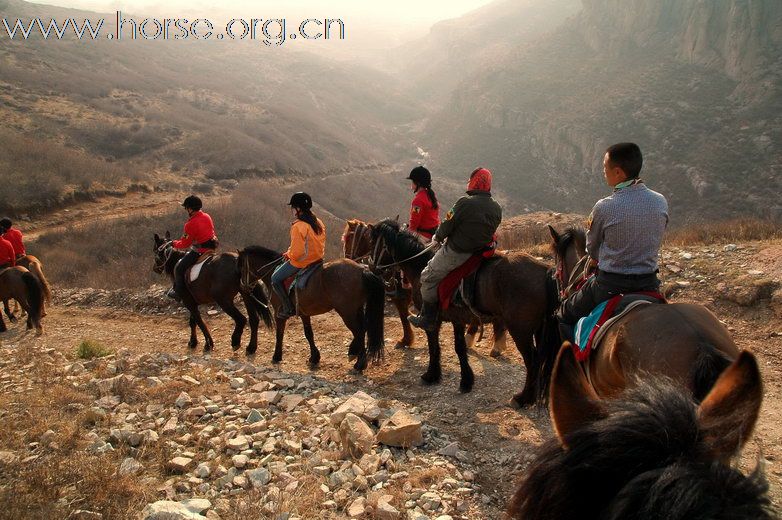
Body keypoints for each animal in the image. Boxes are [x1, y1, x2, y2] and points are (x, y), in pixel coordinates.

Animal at [239, 246, 386, 372]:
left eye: (241, 268)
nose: (243, 286)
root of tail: (362, 270)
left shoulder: (279, 314)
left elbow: (279, 334)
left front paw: (276, 356)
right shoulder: (304, 313)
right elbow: (308, 333)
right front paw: (315, 357)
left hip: (347, 312)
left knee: (359, 332)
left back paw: (360, 364)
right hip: (357, 309)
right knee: (363, 329)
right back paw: (354, 352)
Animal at [344, 219, 508, 358]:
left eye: (349, 238)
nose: (348, 259)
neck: (419, 263)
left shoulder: (402, 297)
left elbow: (404, 316)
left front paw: (406, 339)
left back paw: (493, 346)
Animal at [370, 218, 560, 402]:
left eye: (371, 241)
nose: (372, 268)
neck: (420, 264)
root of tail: (544, 269)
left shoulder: (432, 321)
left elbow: (434, 346)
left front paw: (431, 375)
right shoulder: (458, 320)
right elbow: (459, 348)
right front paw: (466, 381)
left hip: (521, 331)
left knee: (532, 360)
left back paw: (523, 398)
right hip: (539, 329)